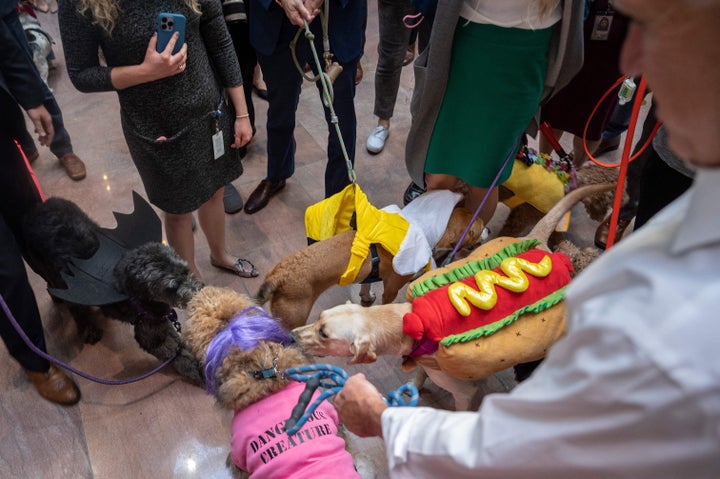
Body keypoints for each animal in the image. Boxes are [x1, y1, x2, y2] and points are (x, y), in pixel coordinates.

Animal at [22, 197, 202, 384]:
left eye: (186, 270)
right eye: (171, 287)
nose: (199, 291)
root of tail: (39, 207)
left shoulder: (158, 320)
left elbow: (177, 342)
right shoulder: (149, 332)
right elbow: (175, 354)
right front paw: (198, 373)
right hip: (46, 269)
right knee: (64, 295)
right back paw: (85, 326)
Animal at [255, 201, 484, 332]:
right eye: (479, 228)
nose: (489, 230)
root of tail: (278, 276)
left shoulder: (367, 275)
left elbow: (366, 288)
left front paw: (366, 297)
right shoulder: (391, 289)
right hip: (293, 318)